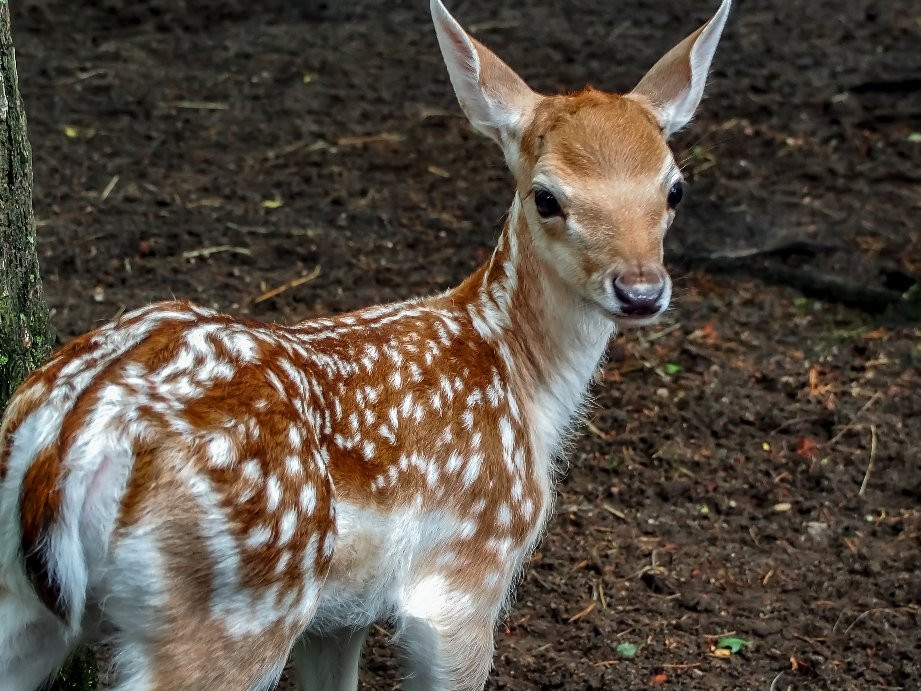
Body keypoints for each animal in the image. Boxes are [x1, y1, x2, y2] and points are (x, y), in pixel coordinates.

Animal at [0, 0, 732, 688]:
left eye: (674, 189)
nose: (640, 289)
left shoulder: (340, 615)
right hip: (234, 605)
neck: (521, 378)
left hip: (25, 597)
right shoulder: (467, 571)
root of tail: (77, 433)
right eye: (546, 197)